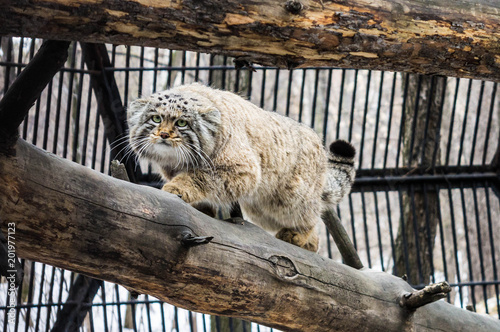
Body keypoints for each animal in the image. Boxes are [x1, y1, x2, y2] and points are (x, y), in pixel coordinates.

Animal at [129, 83, 356, 252]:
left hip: (290, 198)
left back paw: (299, 234)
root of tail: (319, 143)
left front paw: (177, 189)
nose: (163, 135)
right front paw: (200, 206)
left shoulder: (242, 169)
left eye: (182, 123)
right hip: (262, 209)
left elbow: (199, 177)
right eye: (156, 118)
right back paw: (309, 244)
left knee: (311, 214)